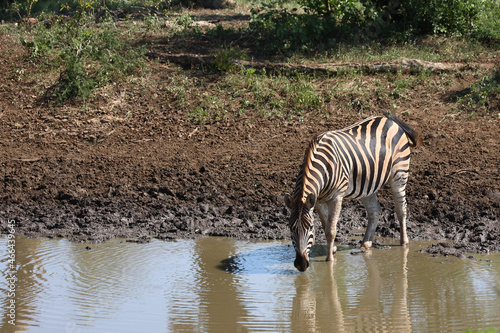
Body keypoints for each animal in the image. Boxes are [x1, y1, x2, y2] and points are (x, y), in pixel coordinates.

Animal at [284, 113, 420, 272]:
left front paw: (330, 260)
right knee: (374, 211)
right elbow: (325, 225)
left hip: (399, 173)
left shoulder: (336, 197)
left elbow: (330, 230)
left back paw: (404, 242)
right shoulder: (317, 201)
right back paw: (366, 244)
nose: (301, 264)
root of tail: (390, 120)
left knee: (401, 209)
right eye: (290, 228)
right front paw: (333, 249)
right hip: (368, 183)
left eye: (310, 228)